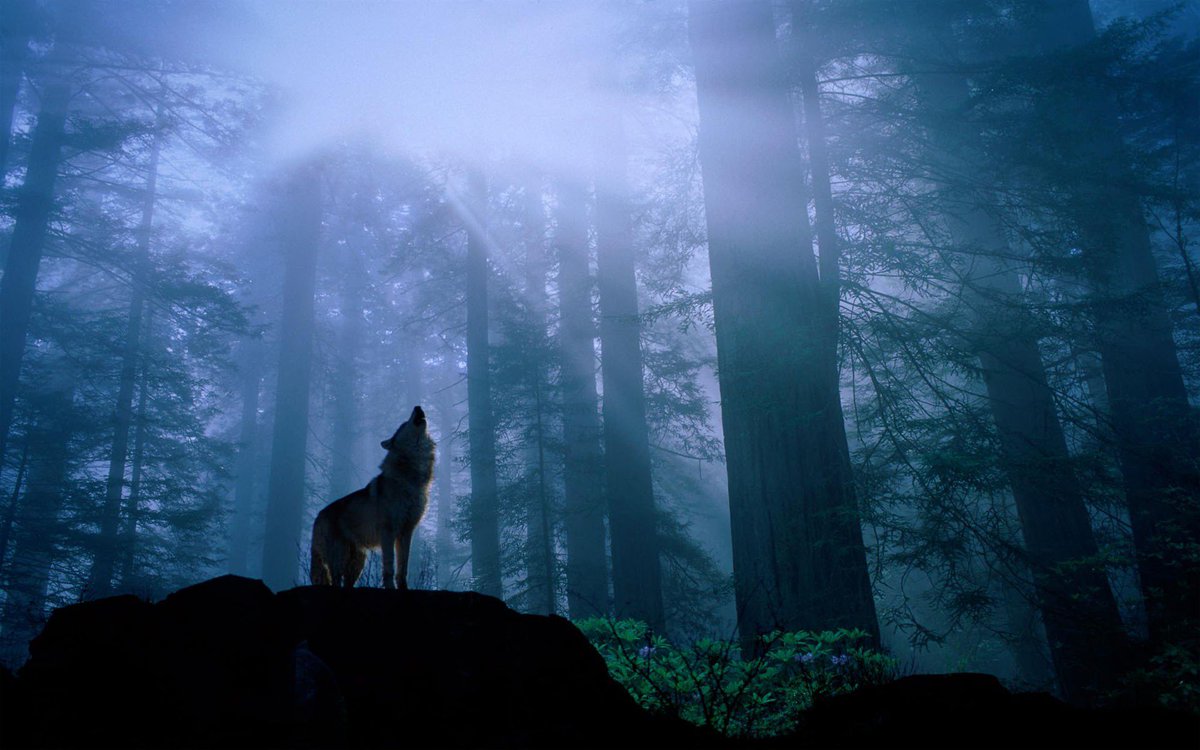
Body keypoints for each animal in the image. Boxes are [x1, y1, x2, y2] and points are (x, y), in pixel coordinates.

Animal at [310, 405, 436, 589]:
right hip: (339, 559)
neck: (411, 477)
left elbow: (403, 568)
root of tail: (318, 516)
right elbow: (389, 567)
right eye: (404, 424)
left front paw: (404, 588)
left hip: (357, 563)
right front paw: (390, 588)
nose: (417, 406)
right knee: (335, 581)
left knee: (346, 583)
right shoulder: (388, 532)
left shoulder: (406, 532)